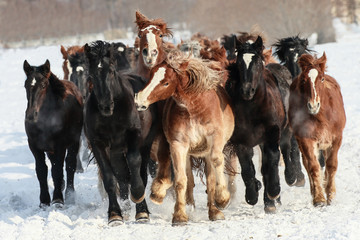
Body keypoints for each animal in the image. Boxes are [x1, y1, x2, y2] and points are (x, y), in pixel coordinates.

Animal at [22, 59, 83, 207]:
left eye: (43, 85)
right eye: (26, 85)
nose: (31, 115)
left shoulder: (60, 145)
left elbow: (57, 170)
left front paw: (57, 199)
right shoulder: (34, 146)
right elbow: (41, 170)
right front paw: (44, 201)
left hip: (74, 142)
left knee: (70, 164)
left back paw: (69, 195)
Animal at [85, 41, 158, 225]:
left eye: (111, 70)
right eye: (92, 74)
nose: (106, 106)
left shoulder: (134, 136)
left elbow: (135, 165)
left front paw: (138, 198)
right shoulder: (98, 144)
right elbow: (110, 178)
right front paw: (114, 214)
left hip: (145, 143)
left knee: (140, 173)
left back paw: (141, 210)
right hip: (116, 151)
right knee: (122, 178)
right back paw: (125, 208)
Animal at [134, 49, 233, 225]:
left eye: (166, 83)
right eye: (151, 76)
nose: (139, 100)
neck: (195, 108)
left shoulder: (215, 138)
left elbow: (217, 161)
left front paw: (222, 199)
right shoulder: (178, 144)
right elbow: (181, 180)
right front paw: (179, 215)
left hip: (205, 152)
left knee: (210, 179)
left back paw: (214, 211)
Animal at [226, 35, 300, 212]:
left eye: (257, 62)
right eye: (239, 62)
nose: (247, 90)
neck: (252, 109)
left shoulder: (271, 137)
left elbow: (271, 163)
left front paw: (273, 192)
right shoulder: (242, 143)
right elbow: (247, 170)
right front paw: (252, 195)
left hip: (285, 131)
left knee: (285, 151)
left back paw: (288, 180)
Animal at [288, 53, 344, 206]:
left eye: (322, 78)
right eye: (304, 80)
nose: (313, 105)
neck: (321, 117)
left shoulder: (336, 138)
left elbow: (331, 165)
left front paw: (330, 194)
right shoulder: (306, 139)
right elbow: (313, 166)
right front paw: (319, 198)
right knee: (308, 165)